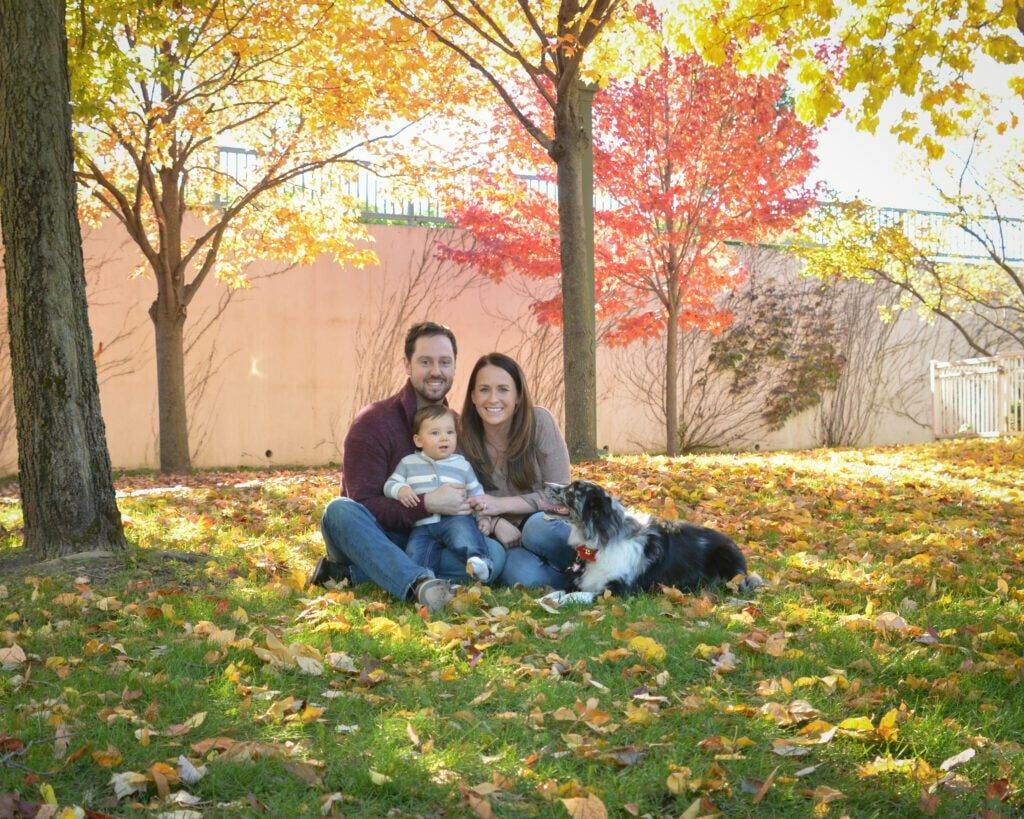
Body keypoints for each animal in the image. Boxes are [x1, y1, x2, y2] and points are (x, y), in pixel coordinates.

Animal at [544, 477, 761, 597]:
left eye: (572, 490)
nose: (545, 484)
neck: (601, 540)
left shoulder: (617, 590)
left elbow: (576, 597)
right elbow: (558, 594)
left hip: (724, 557)